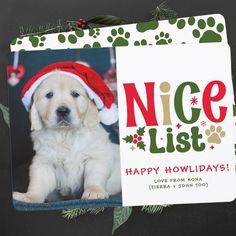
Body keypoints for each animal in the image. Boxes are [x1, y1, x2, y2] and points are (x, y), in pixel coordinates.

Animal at [12, 72, 121, 203]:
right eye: (49, 95)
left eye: (75, 94)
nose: (63, 111)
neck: (66, 135)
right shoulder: (44, 162)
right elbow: (38, 182)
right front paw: (29, 197)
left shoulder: (96, 158)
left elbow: (94, 177)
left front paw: (94, 191)